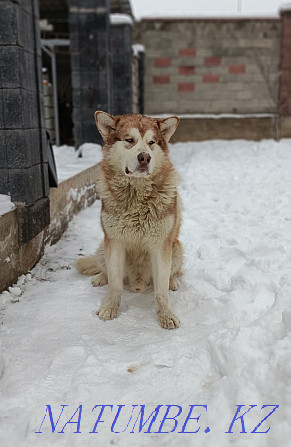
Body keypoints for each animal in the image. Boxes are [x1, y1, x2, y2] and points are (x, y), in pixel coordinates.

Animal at [76, 112, 184, 328]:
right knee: (105, 269)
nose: (145, 157)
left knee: (172, 273)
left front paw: (166, 315)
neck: (137, 195)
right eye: (129, 140)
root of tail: (138, 282)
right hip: (103, 248)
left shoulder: (161, 246)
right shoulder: (115, 242)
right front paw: (110, 308)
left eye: (152, 142)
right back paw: (100, 277)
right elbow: (115, 284)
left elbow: (161, 291)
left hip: (176, 248)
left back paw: (173, 281)